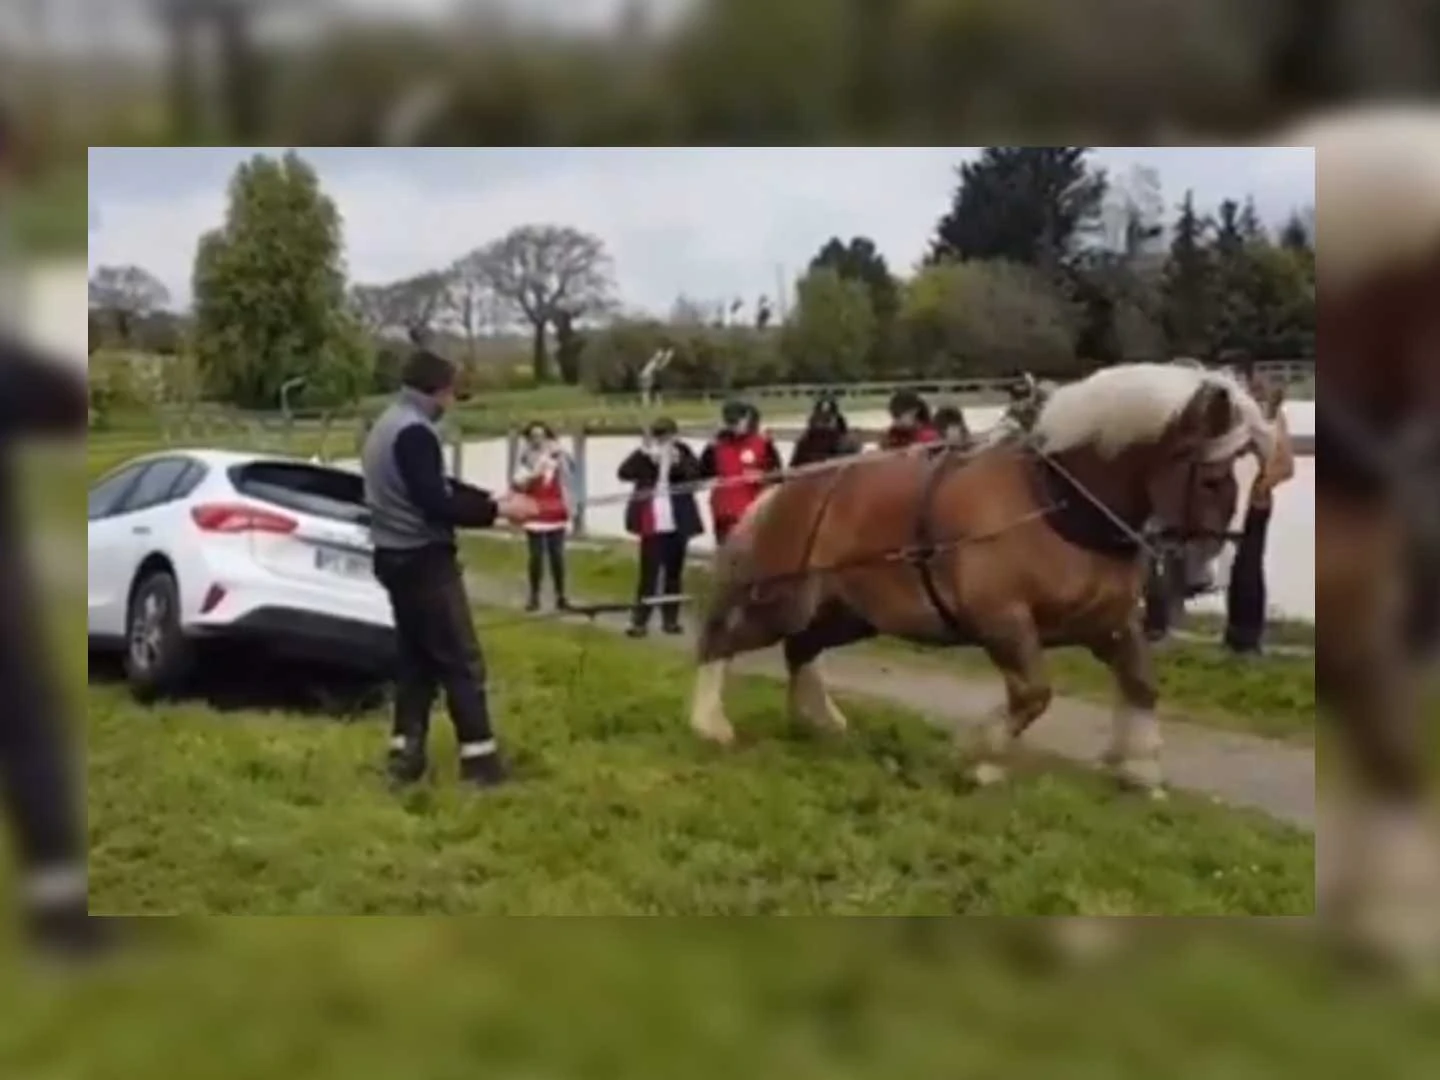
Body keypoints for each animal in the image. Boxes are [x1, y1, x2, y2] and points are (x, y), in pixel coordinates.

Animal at [691, 364, 1267, 794]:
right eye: (1211, 478)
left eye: (1243, 474)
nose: (1203, 578)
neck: (1056, 506)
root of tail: (784, 492)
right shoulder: (1002, 620)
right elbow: (1033, 693)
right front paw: (978, 756)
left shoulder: (1109, 623)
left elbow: (1141, 683)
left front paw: (1140, 767)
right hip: (781, 601)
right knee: (723, 640)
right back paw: (709, 724)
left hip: (849, 613)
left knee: (800, 650)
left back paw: (819, 722)